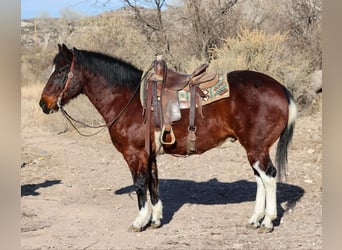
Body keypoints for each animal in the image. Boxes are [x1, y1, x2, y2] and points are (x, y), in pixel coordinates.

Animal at [39, 44, 296, 233]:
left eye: (60, 71)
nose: (44, 104)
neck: (128, 99)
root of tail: (280, 88)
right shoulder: (150, 154)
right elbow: (153, 182)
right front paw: (155, 219)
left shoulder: (135, 154)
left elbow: (140, 184)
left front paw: (140, 221)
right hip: (254, 148)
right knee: (260, 178)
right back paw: (255, 218)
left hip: (256, 147)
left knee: (269, 176)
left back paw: (267, 221)